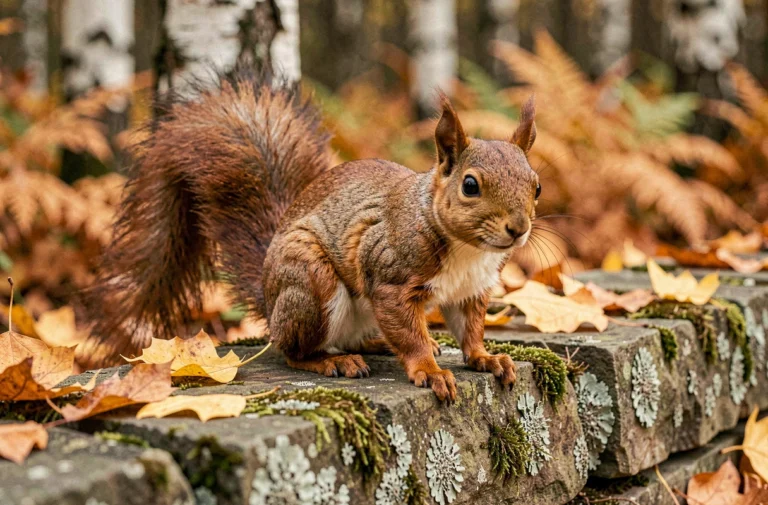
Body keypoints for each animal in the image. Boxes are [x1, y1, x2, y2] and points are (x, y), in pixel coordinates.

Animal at [83, 68, 540, 402]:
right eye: (470, 185)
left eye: (536, 186)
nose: (518, 228)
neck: (468, 252)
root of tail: (270, 299)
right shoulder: (389, 273)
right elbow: (410, 334)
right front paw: (429, 370)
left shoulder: (472, 290)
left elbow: (471, 330)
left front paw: (487, 358)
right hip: (310, 283)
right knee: (292, 352)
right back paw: (331, 362)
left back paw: (374, 343)